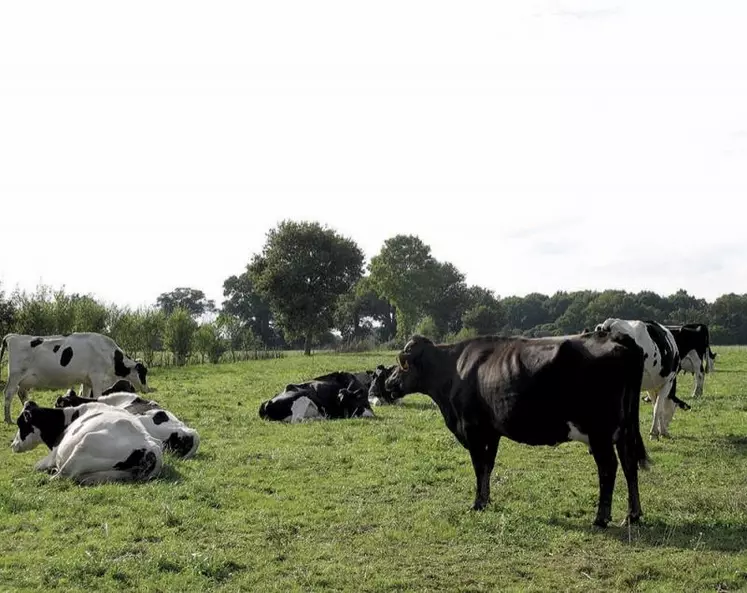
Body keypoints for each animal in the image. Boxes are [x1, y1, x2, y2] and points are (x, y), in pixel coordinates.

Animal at [1, 330, 150, 424]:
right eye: (143, 373)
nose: (147, 389)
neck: (110, 355)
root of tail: (13, 336)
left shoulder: (87, 381)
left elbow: (87, 397)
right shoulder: (97, 378)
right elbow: (98, 396)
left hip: (23, 381)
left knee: (21, 394)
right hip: (15, 376)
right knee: (8, 394)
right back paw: (8, 419)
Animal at [10, 400, 163, 484]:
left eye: (20, 424)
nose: (12, 445)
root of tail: (151, 449)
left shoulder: (54, 454)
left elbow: (36, 466)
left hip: (84, 444)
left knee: (59, 477)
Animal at [382, 332, 652, 528]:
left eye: (401, 366)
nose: (387, 383)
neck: (454, 369)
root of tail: (617, 337)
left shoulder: (472, 429)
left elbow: (479, 466)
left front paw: (477, 503)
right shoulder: (491, 432)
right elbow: (488, 466)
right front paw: (486, 500)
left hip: (599, 433)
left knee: (609, 467)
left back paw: (601, 518)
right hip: (624, 430)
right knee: (629, 464)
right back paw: (633, 514)